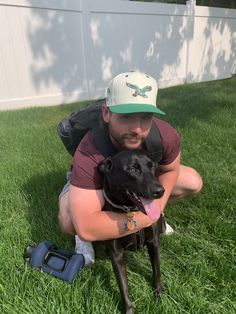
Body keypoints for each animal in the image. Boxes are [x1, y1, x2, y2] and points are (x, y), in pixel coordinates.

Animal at [97, 150, 166, 314]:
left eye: (152, 165)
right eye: (131, 169)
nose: (160, 191)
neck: (130, 210)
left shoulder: (153, 241)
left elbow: (157, 270)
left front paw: (160, 294)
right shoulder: (116, 254)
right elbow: (124, 287)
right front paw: (129, 310)